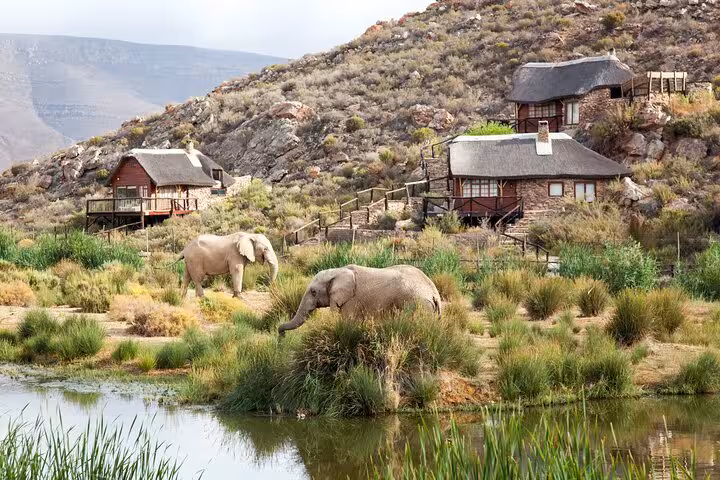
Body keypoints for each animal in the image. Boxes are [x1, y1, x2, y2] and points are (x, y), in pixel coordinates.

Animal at [278, 264, 441, 336]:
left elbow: (348, 324)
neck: (338, 270)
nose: (281, 336)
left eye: (313, 292)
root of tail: (435, 293)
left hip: (418, 305)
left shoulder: (351, 300)